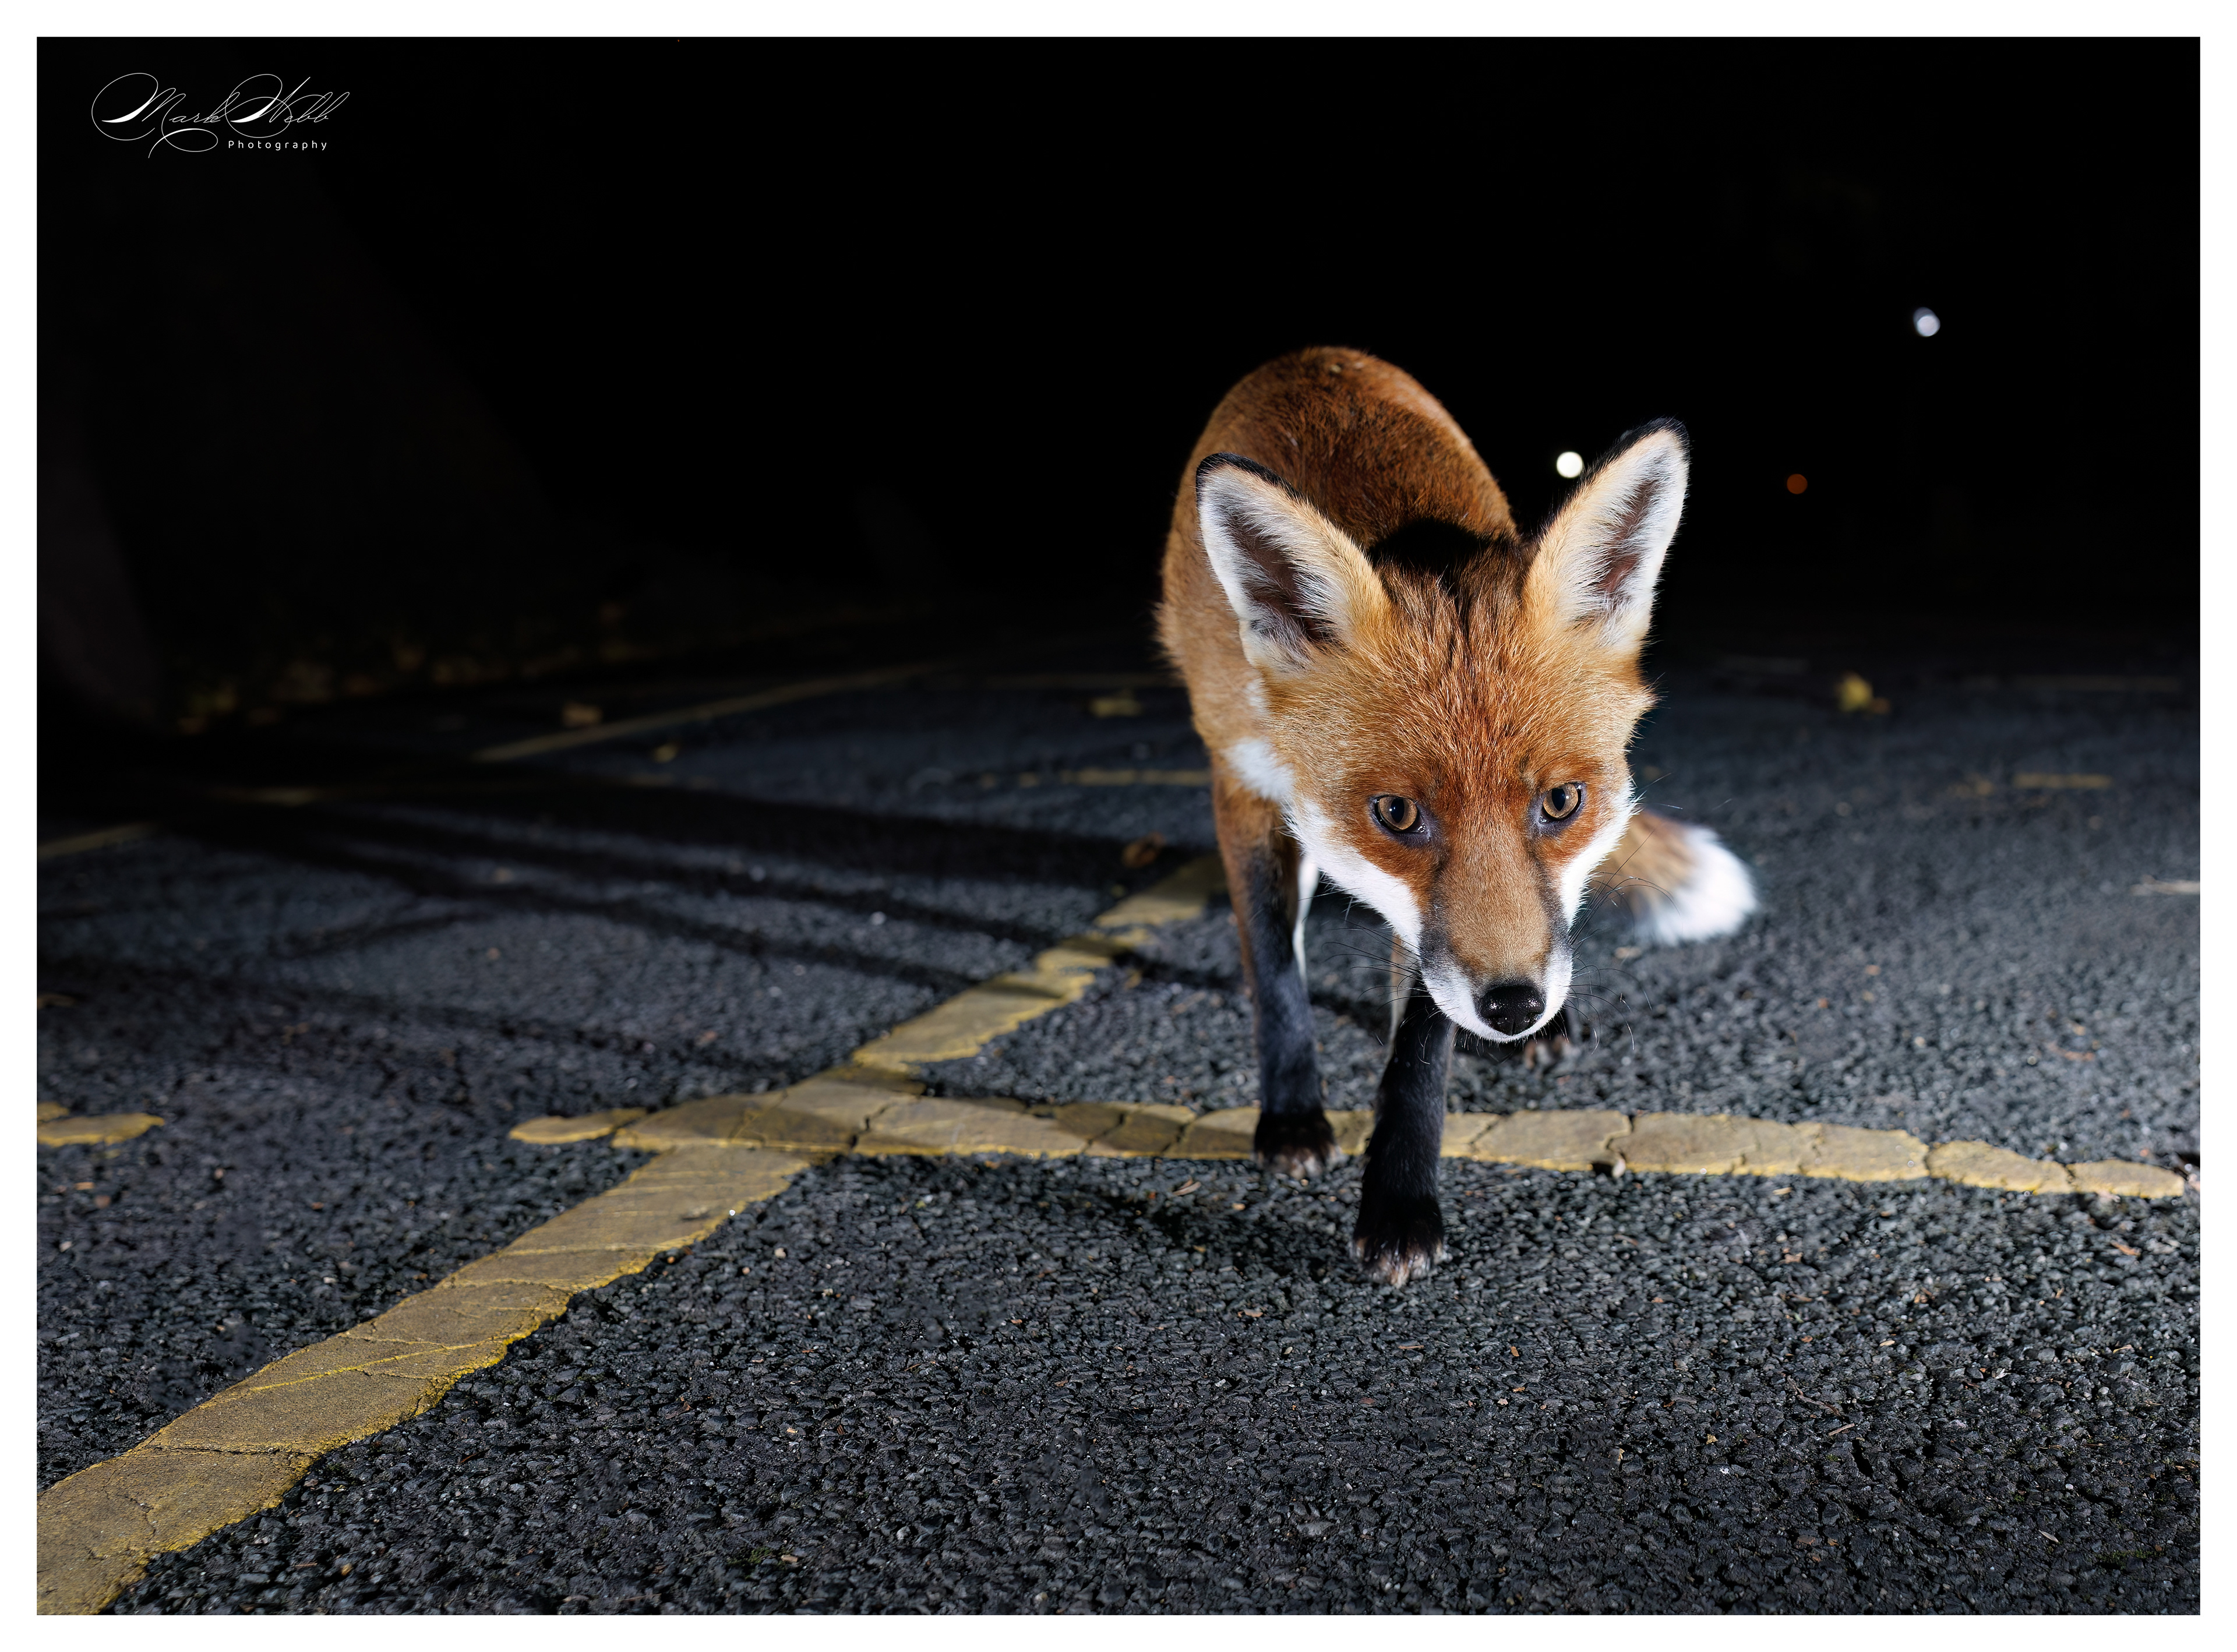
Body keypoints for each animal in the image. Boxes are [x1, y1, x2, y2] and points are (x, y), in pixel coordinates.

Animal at [1157, 347, 1756, 1285]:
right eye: (1397, 813)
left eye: (1561, 802)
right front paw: (1291, 1117)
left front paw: (1400, 1202)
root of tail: (1320, 355)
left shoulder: (1441, 940)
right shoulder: (1243, 786)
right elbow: (1276, 968)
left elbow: (1420, 1045)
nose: (1512, 1007)